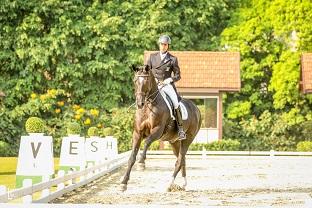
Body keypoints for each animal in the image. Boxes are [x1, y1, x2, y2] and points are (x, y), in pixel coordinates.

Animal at [119, 64, 202, 192]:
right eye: (135, 81)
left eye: (146, 81)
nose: (139, 103)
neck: (148, 106)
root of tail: (196, 108)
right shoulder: (137, 133)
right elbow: (132, 157)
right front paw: (123, 183)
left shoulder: (157, 131)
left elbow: (147, 142)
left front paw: (141, 162)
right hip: (174, 142)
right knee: (182, 159)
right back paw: (183, 184)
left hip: (187, 139)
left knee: (179, 160)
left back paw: (169, 184)